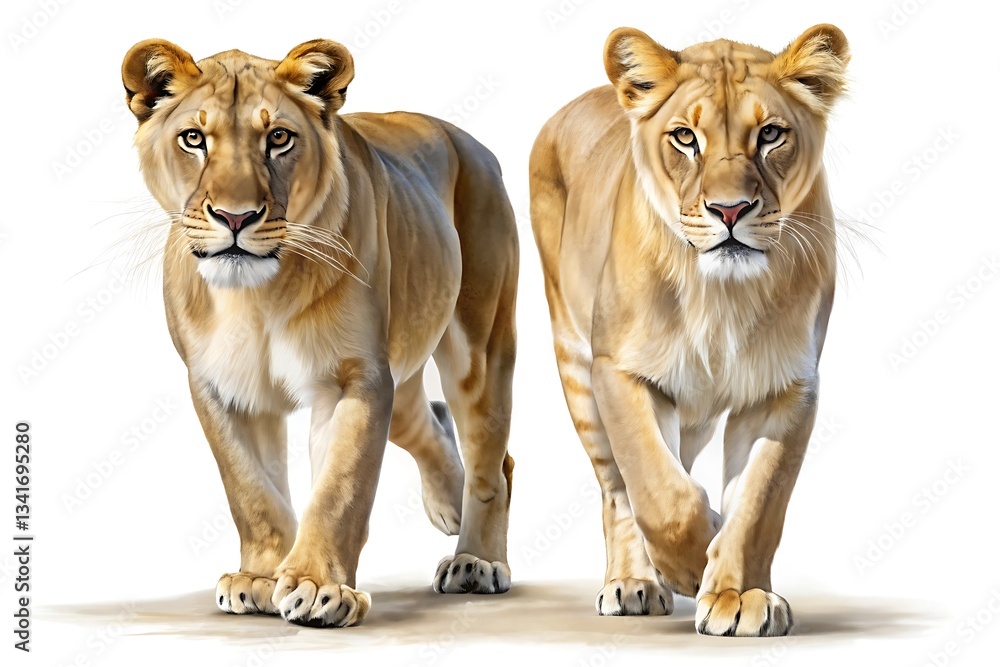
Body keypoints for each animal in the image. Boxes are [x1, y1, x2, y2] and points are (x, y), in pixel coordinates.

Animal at [122, 38, 518, 627]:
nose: (236, 218)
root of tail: (470, 141)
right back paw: (449, 501)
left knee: (493, 458)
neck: (255, 300)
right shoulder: (222, 387)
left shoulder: (356, 377)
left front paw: (316, 587)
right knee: (432, 422)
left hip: (481, 346)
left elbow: (340, 486)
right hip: (403, 379)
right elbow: (250, 490)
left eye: (278, 138)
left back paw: (476, 561)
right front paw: (259, 580)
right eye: (193, 138)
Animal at [529, 25, 848, 636]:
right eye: (684, 138)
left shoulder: (786, 387)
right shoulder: (619, 370)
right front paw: (691, 565)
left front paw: (739, 594)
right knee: (617, 489)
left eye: (771, 134)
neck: (721, 295)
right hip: (576, 363)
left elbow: (759, 503)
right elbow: (660, 493)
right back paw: (633, 582)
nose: (730, 210)